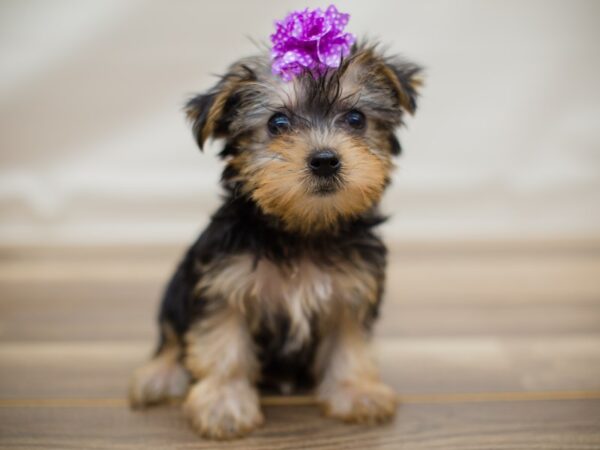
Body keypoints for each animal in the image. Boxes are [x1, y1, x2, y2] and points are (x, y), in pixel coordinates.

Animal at [129, 6, 420, 440]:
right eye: (278, 123)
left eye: (355, 119)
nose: (325, 160)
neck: (301, 228)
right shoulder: (223, 285)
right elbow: (223, 346)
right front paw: (224, 405)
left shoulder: (350, 291)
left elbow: (348, 344)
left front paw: (356, 392)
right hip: (178, 285)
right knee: (170, 335)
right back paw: (157, 376)